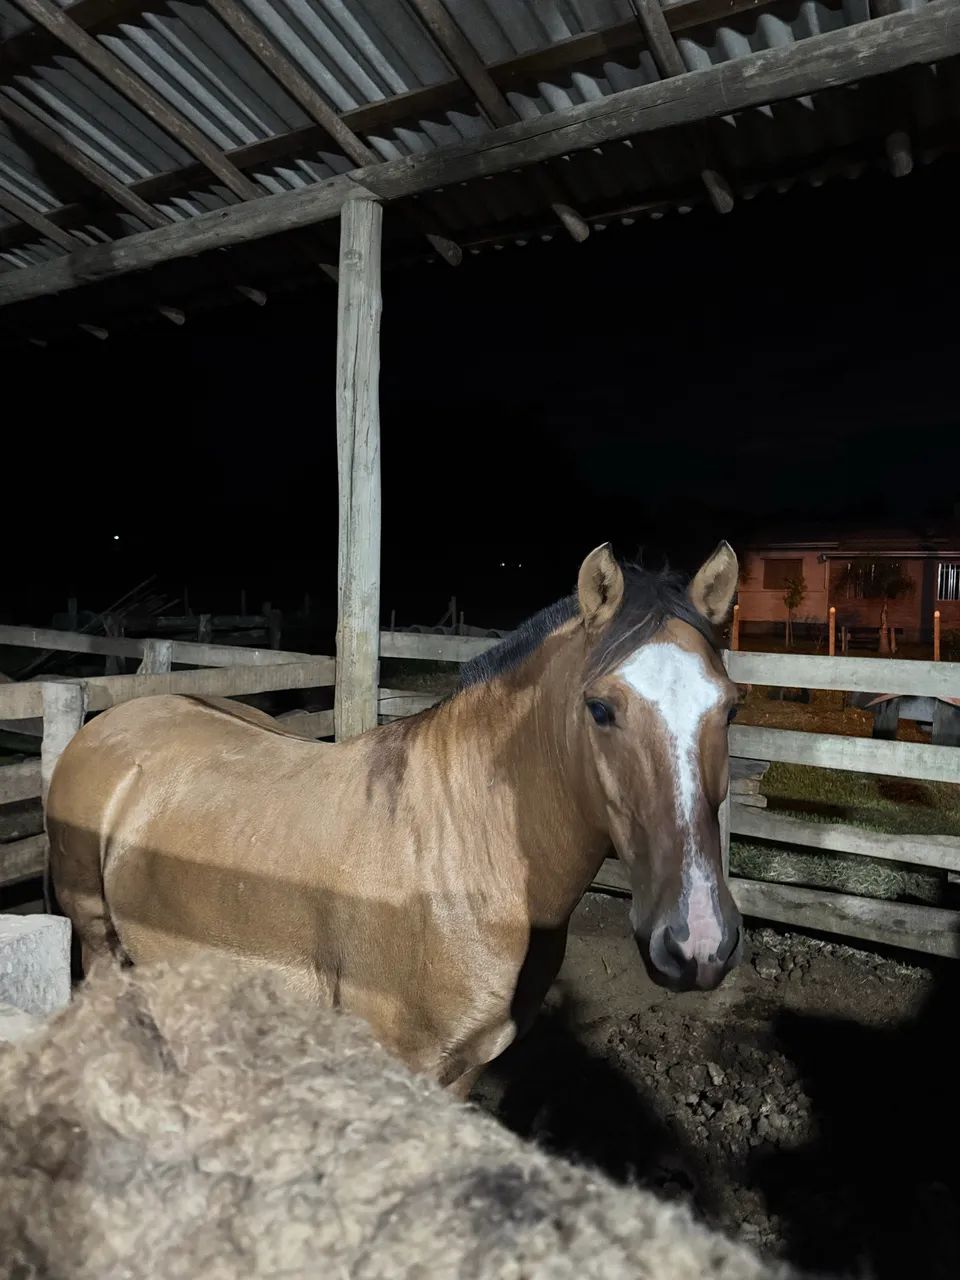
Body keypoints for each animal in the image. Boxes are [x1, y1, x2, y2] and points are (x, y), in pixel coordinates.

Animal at [47, 542, 743, 1097]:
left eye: (731, 708)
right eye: (600, 708)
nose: (698, 941)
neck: (462, 852)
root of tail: (108, 723)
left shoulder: (465, 1067)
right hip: (99, 944)